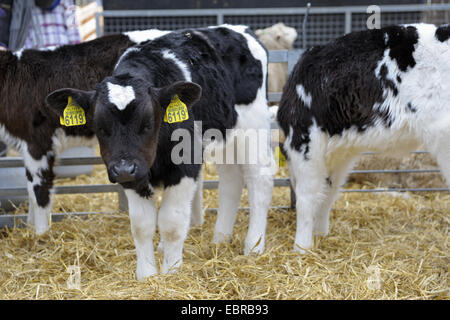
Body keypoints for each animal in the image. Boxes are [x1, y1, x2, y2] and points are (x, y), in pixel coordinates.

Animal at [47, 25, 276, 278]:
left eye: (148, 123)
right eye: (100, 127)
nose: (124, 169)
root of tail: (238, 29)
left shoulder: (185, 166)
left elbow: (171, 223)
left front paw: (171, 270)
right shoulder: (133, 175)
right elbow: (142, 225)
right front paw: (146, 274)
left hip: (252, 128)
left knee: (259, 179)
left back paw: (254, 245)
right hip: (224, 133)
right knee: (231, 181)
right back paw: (220, 238)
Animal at [278, 22, 450, 252]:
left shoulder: (305, 141)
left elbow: (307, 197)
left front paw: (301, 248)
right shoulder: (339, 154)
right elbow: (328, 192)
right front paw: (321, 234)